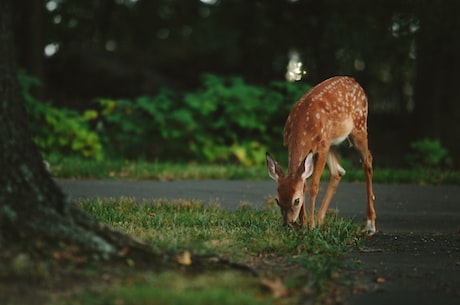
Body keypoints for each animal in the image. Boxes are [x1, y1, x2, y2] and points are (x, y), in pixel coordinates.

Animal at [266, 76, 378, 235]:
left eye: (296, 200)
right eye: (277, 200)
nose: (287, 224)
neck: (303, 127)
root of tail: (354, 81)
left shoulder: (322, 147)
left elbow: (314, 185)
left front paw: (310, 225)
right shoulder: (291, 145)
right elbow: (303, 184)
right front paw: (304, 223)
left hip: (359, 125)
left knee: (367, 161)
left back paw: (370, 224)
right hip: (333, 141)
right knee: (338, 171)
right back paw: (320, 220)